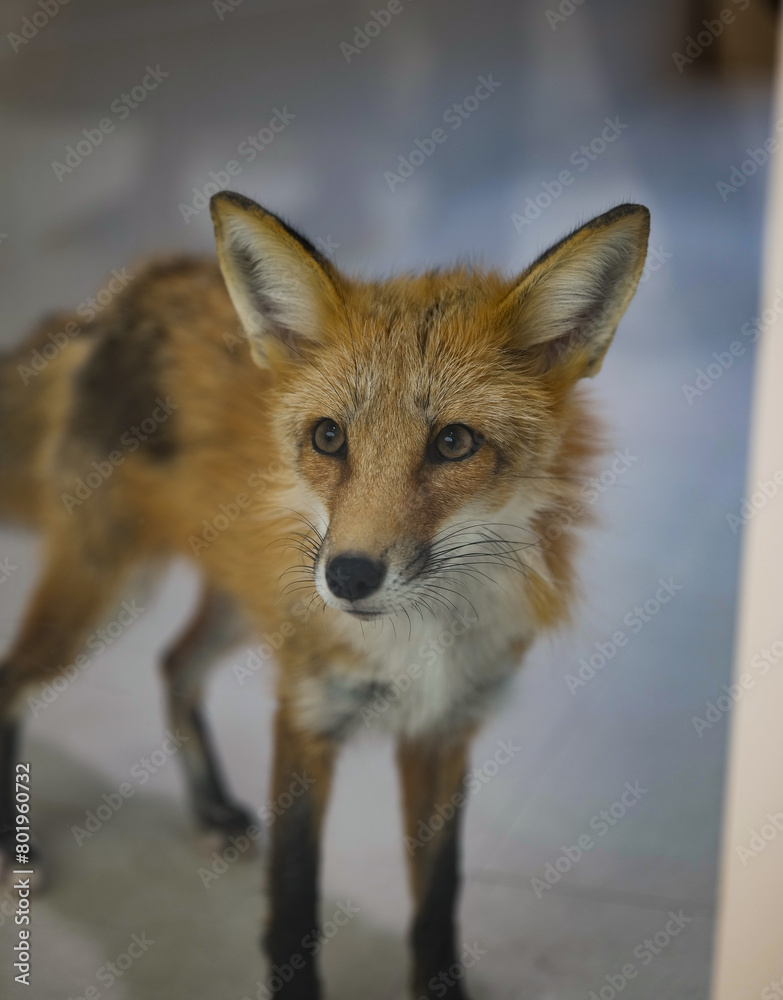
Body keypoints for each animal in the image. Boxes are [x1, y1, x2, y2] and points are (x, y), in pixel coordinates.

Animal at [0, 192, 649, 999]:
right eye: (329, 437)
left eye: (454, 443)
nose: (348, 576)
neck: (418, 641)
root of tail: (128, 286)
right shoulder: (306, 715)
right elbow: (293, 907)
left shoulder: (443, 730)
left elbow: (439, 901)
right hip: (113, 588)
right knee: (14, 680)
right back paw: (14, 854)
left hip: (238, 603)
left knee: (173, 665)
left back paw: (209, 813)